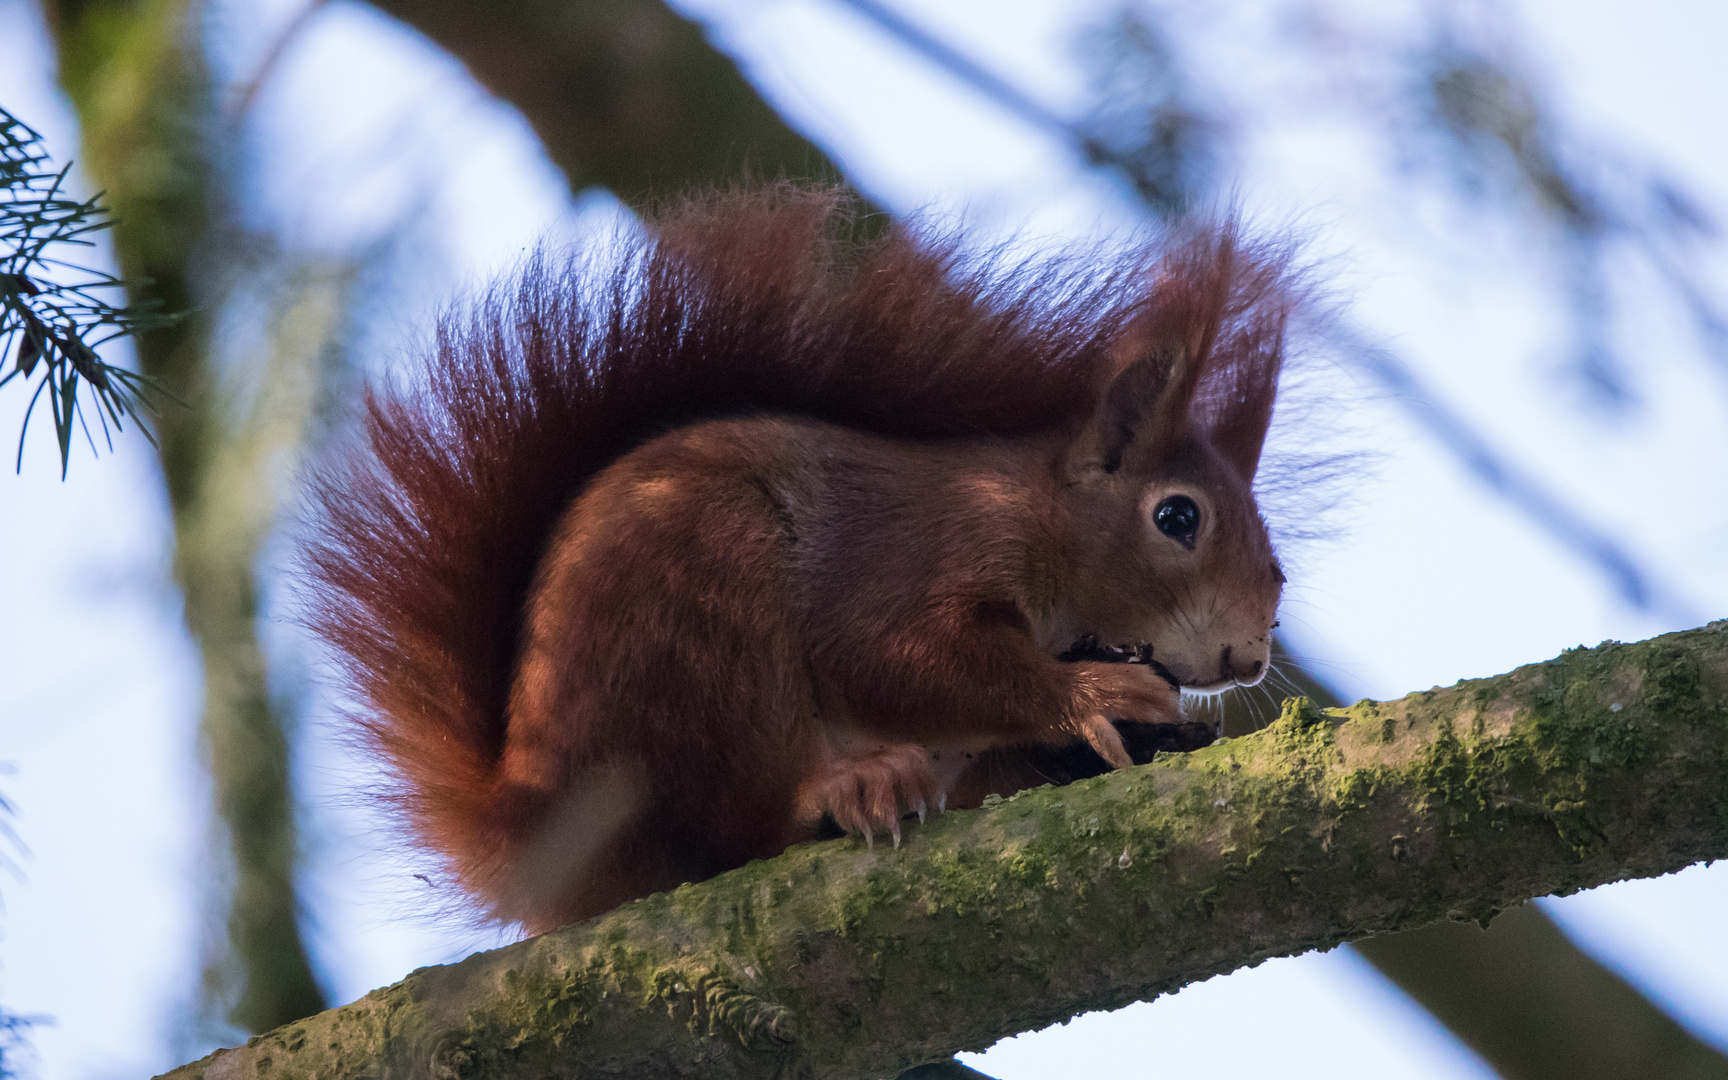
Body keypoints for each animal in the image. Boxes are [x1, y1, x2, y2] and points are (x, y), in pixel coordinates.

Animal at [304, 187, 1299, 933]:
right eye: (1177, 517)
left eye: (1279, 570)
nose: (1248, 657)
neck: (1036, 515)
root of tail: (529, 823)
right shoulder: (915, 549)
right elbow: (891, 655)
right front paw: (1091, 693)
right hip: (700, 613)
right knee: (732, 824)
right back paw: (843, 790)